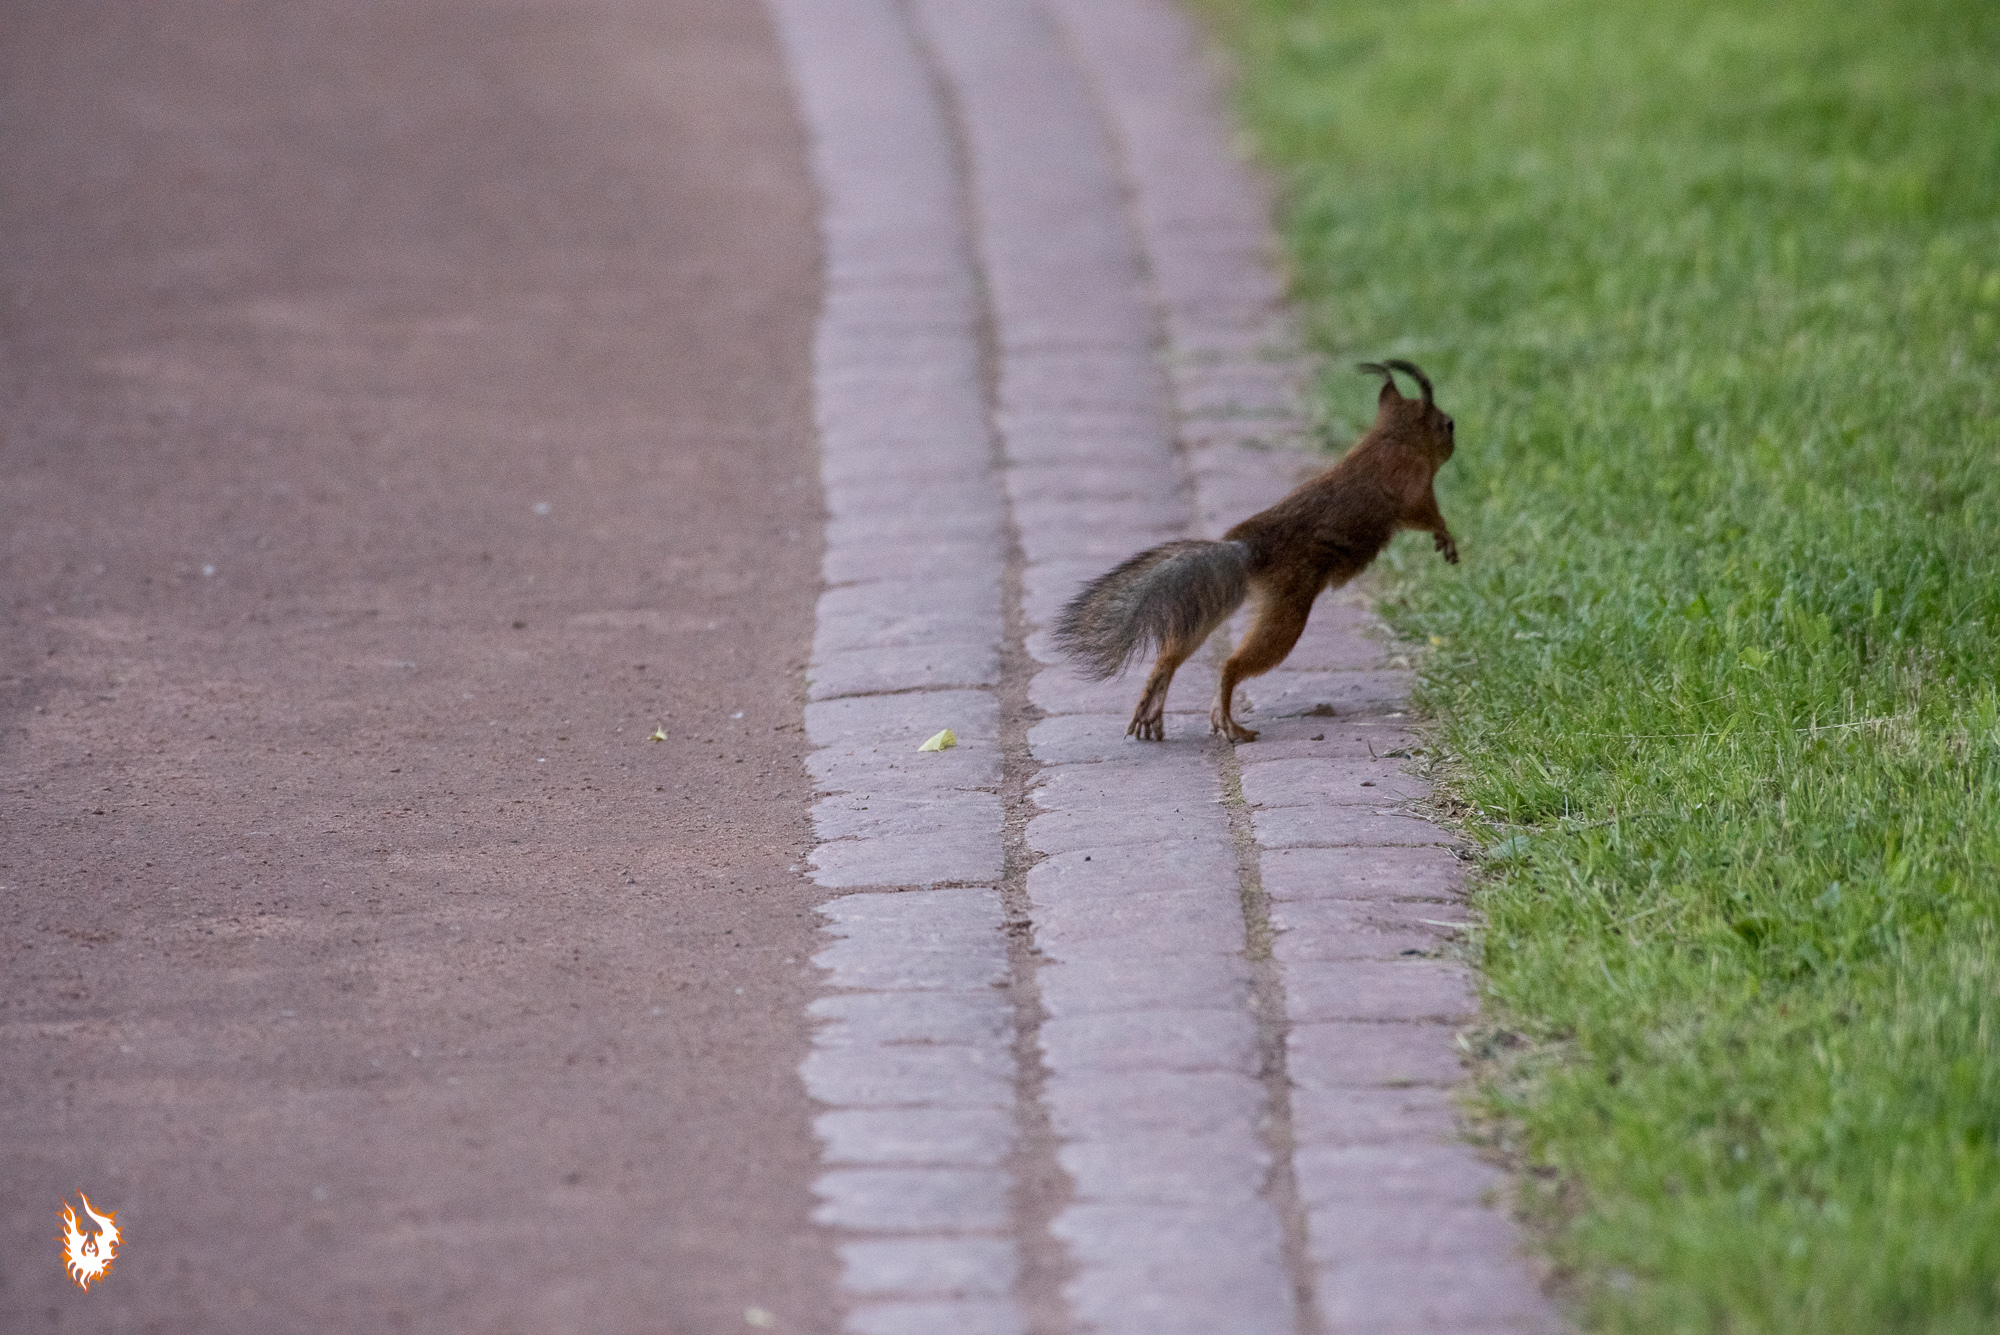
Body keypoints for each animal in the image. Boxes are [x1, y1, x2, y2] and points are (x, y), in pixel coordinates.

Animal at [1056, 357, 1464, 739]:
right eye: (1448, 424)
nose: (1454, 443)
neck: (1390, 438)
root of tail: (1246, 552)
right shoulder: (1413, 487)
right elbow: (1426, 515)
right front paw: (1446, 538)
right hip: (1286, 608)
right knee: (1234, 664)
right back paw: (1227, 720)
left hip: (1212, 604)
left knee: (1170, 655)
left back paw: (1150, 708)